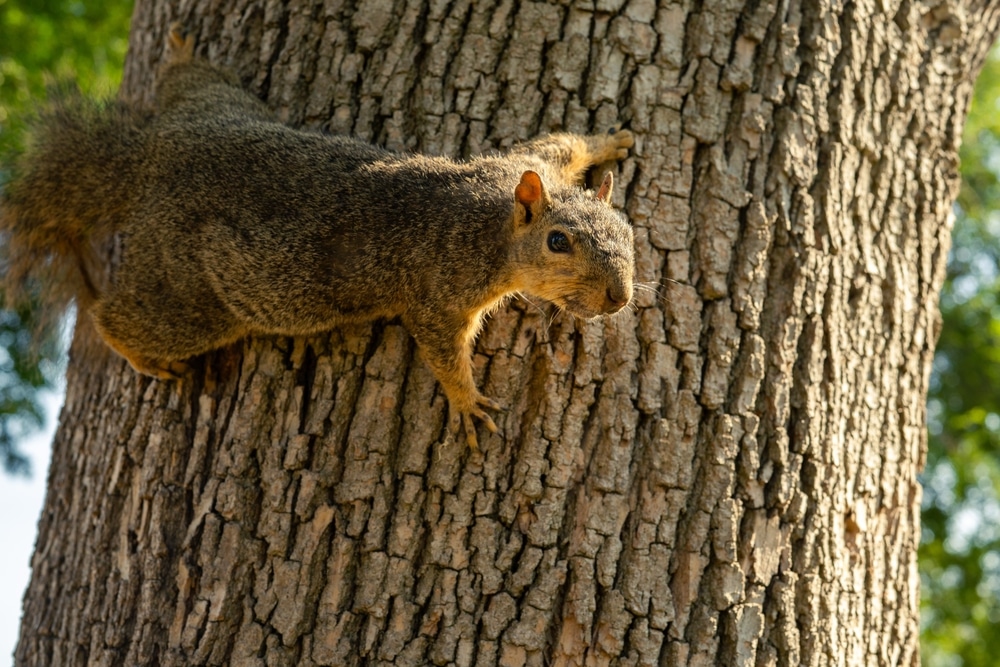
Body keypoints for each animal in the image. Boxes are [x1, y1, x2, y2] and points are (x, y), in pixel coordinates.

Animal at [0, 28, 636, 452]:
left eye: (629, 234)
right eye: (558, 243)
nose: (620, 297)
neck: (496, 221)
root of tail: (149, 159)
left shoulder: (527, 162)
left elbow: (561, 142)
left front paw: (609, 140)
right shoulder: (441, 288)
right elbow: (441, 348)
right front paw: (467, 401)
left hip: (219, 106)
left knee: (194, 85)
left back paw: (182, 54)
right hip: (192, 293)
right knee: (116, 317)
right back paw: (145, 356)